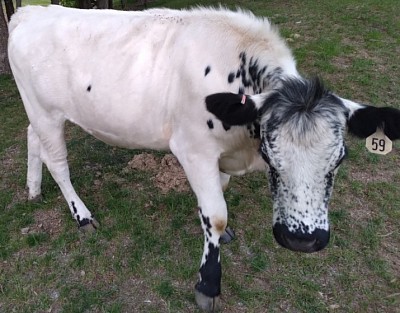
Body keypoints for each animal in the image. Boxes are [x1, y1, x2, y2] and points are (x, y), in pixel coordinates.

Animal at [7, 5, 400, 312]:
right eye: (270, 155)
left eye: (340, 159)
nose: (302, 240)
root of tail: (31, 11)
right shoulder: (193, 149)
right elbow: (217, 214)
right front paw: (208, 285)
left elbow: (218, 201)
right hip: (46, 112)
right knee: (58, 162)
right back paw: (81, 215)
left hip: (36, 112)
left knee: (31, 138)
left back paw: (33, 188)